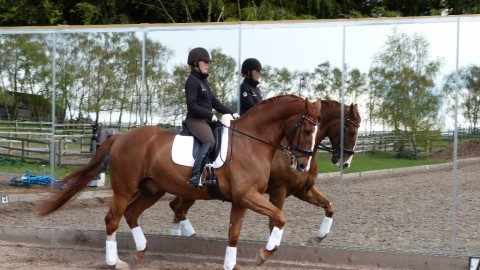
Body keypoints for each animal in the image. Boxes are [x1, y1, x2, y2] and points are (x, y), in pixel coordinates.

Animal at [38, 95, 322, 270]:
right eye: (308, 130)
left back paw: (140, 252)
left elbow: (234, 233)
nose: (303, 166)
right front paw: (264, 254)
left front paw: (231, 264)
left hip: (152, 189)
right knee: (113, 219)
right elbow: (280, 217)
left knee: (131, 214)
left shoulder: (241, 200)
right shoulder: (247, 196)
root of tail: (120, 136)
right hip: (124, 188)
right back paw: (114, 262)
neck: (251, 141)